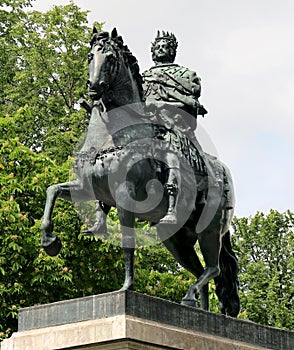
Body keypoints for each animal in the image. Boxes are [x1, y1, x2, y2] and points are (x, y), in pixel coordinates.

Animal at [40, 28, 239, 316]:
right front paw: (49, 240)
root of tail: (222, 172)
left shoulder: (126, 196)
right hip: (177, 239)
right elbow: (52, 191)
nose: (93, 87)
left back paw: (191, 297)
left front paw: (126, 287)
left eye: (111, 58)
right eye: (90, 56)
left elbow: (127, 242)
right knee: (201, 270)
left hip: (209, 229)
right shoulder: (86, 187)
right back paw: (199, 308)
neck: (111, 136)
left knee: (213, 268)